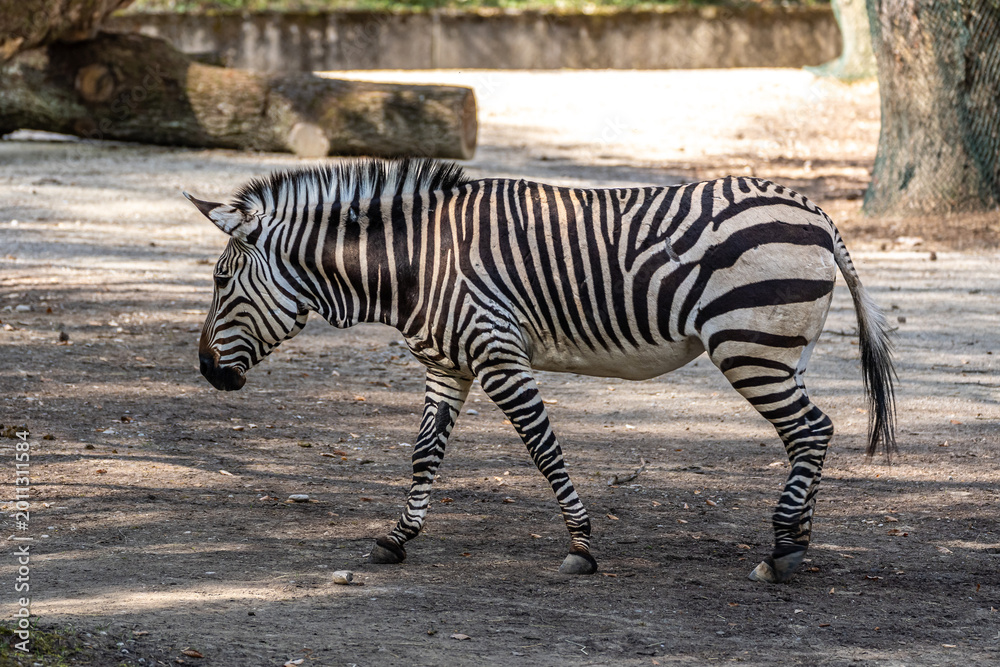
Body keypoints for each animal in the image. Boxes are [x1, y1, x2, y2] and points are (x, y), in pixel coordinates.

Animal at [185, 158, 895, 584]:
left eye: (220, 280)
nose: (207, 371)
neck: (416, 262)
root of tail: (814, 211)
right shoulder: (446, 365)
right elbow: (424, 452)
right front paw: (396, 538)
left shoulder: (499, 356)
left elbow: (542, 448)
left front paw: (580, 546)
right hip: (779, 352)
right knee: (811, 433)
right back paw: (798, 538)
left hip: (749, 346)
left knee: (810, 431)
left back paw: (782, 552)